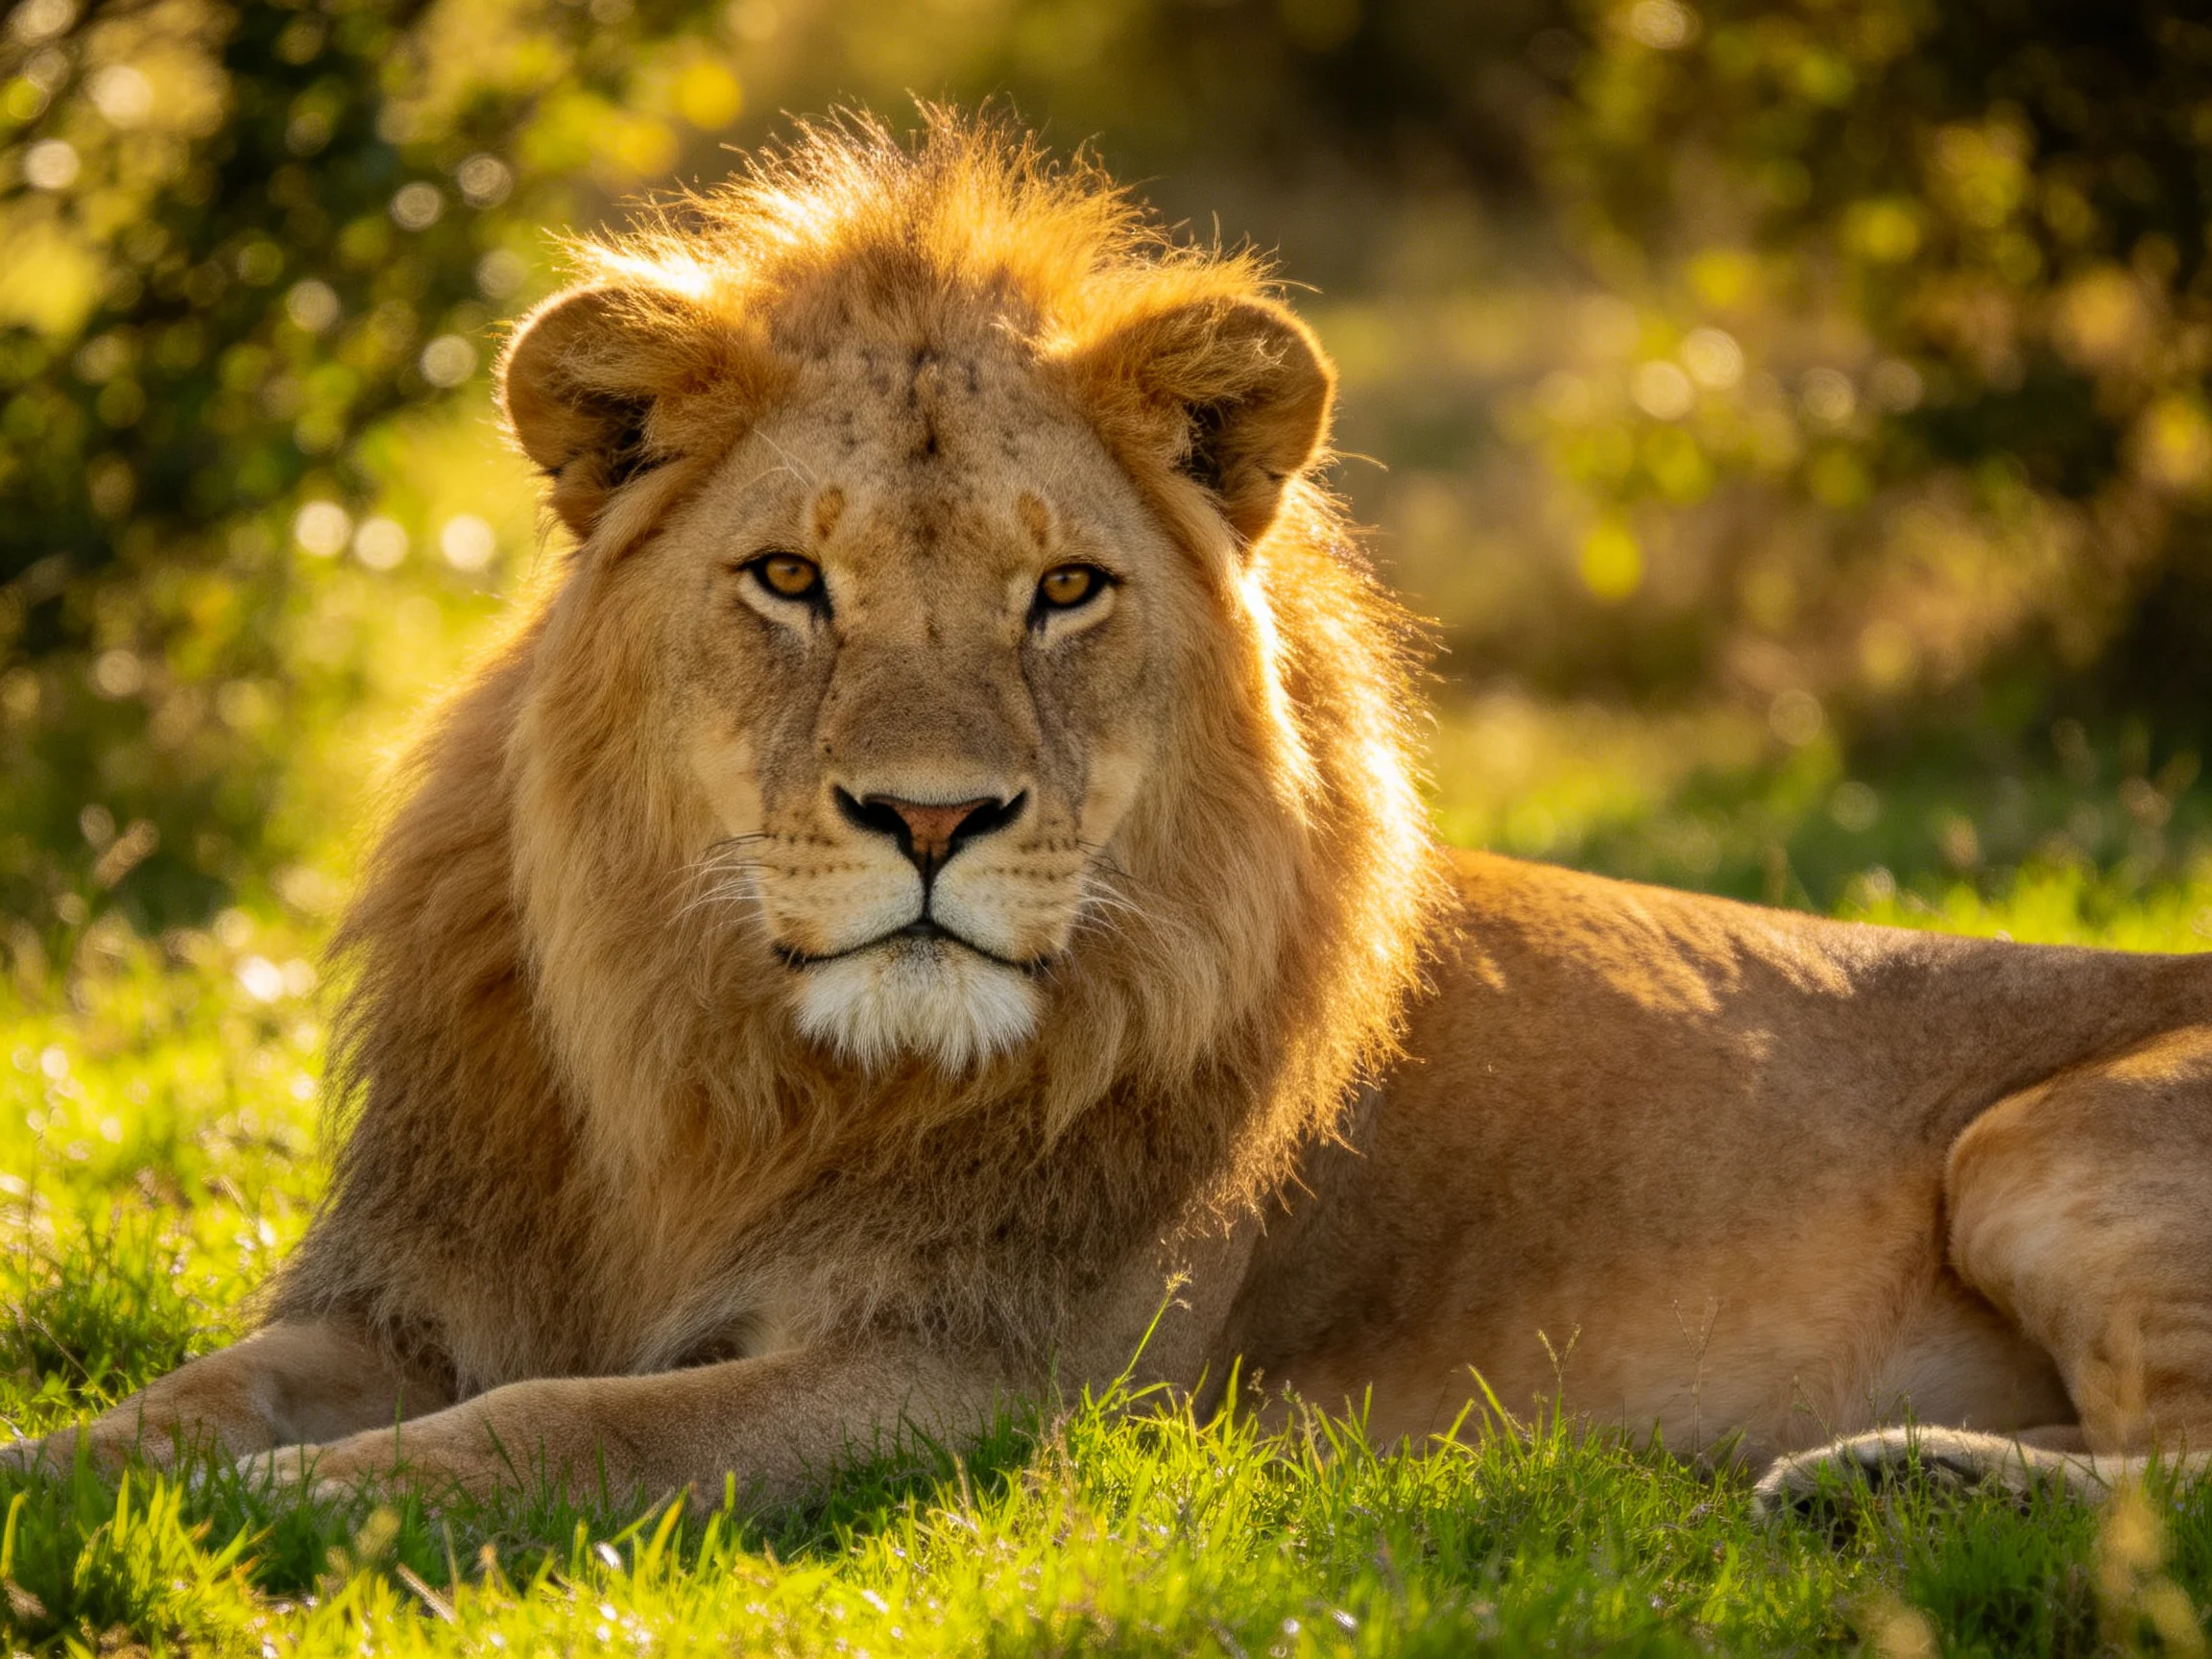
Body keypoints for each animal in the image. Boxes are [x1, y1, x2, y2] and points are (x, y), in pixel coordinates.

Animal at [10, 111, 2212, 1519]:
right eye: (788, 580)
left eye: (1063, 589)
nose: (931, 820)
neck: (709, 1073)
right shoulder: (408, 1288)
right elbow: (183, 1399)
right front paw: (67, 1485)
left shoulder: (976, 1379)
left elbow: (559, 1430)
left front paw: (313, 1516)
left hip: (2038, 1143)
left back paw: (1886, 1483)